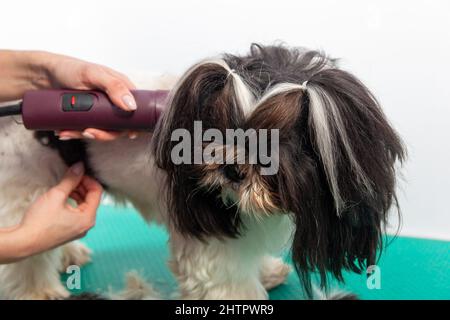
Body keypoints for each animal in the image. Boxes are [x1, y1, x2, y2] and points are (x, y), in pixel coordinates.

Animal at [0, 43, 404, 298]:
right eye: (218, 125)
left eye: (278, 139)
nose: (232, 167)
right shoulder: (208, 241)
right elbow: (227, 282)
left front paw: (265, 270)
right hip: (25, 189)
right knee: (28, 257)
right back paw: (39, 290)